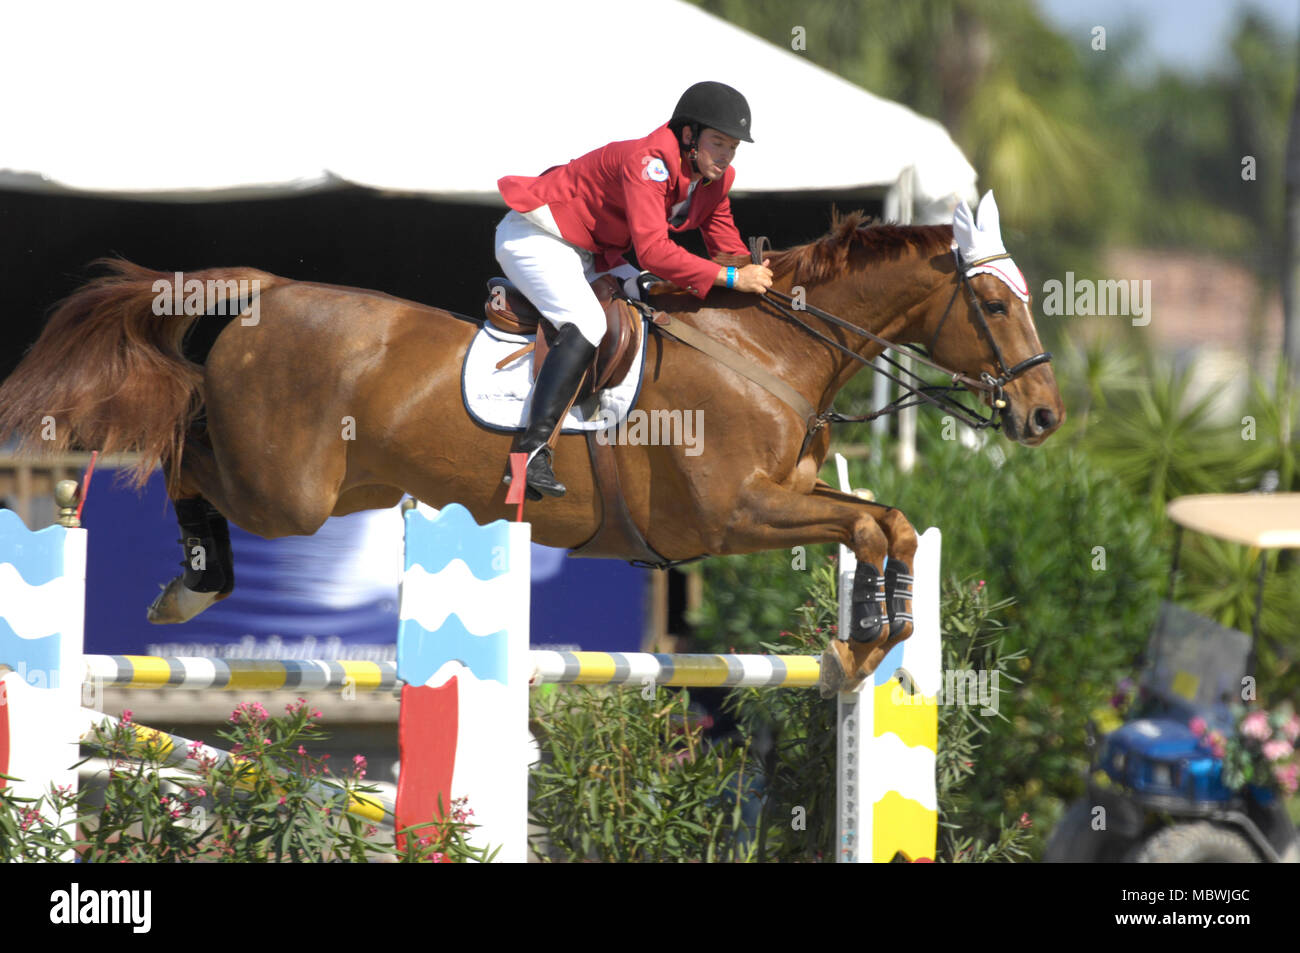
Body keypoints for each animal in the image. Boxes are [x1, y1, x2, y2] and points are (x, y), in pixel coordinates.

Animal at [0, 197, 1055, 696]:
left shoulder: (789, 500)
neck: (766, 352)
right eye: (993, 301)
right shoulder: (733, 515)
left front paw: (875, 634)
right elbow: (875, 524)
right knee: (176, 443)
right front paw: (862, 638)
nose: (1043, 416)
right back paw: (166, 567)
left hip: (337, 489)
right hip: (284, 488)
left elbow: (889, 523)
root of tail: (268, 289)